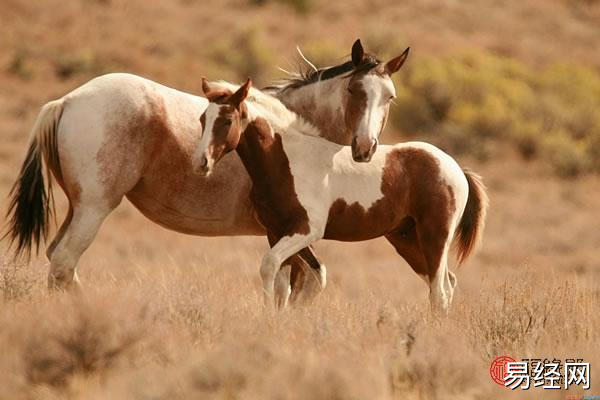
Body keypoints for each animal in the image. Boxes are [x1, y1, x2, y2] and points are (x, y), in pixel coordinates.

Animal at [3, 40, 408, 300]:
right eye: (355, 90)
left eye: (389, 97)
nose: (365, 148)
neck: (292, 134)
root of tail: (67, 101)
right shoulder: (286, 232)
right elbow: (298, 284)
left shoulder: (285, 234)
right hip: (93, 209)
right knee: (63, 264)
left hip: (78, 208)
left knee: (59, 263)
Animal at [197, 79, 488, 314]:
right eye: (202, 120)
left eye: (226, 121)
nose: (201, 162)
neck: (288, 160)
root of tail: (455, 168)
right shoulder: (276, 231)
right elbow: (284, 283)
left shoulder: (306, 230)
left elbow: (269, 266)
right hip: (407, 240)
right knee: (446, 284)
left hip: (434, 237)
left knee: (439, 292)